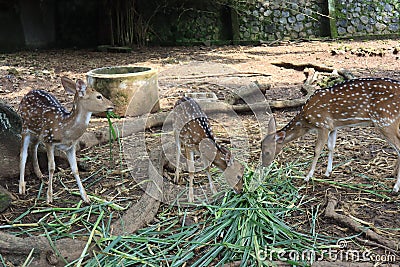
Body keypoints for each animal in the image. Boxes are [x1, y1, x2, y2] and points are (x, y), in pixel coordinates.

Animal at [19, 76, 114, 204]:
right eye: (99, 96)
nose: (112, 104)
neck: (66, 130)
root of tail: (28, 93)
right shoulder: (49, 140)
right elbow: (52, 167)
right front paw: (49, 197)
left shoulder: (70, 146)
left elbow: (75, 169)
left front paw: (85, 197)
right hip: (25, 127)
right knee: (23, 154)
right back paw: (22, 188)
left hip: (38, 132)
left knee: (33, 145)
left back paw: (39, 174)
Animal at [260, 77, 400, 193]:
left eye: (267, 152)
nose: (264, 165)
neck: (307, 120)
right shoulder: (333, 127)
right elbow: (331, 147)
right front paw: (328, 172)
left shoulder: (323, 125)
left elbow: (317, 150)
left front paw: (308, 176)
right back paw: (392, 174)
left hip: (386, 121)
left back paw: (395, 187)